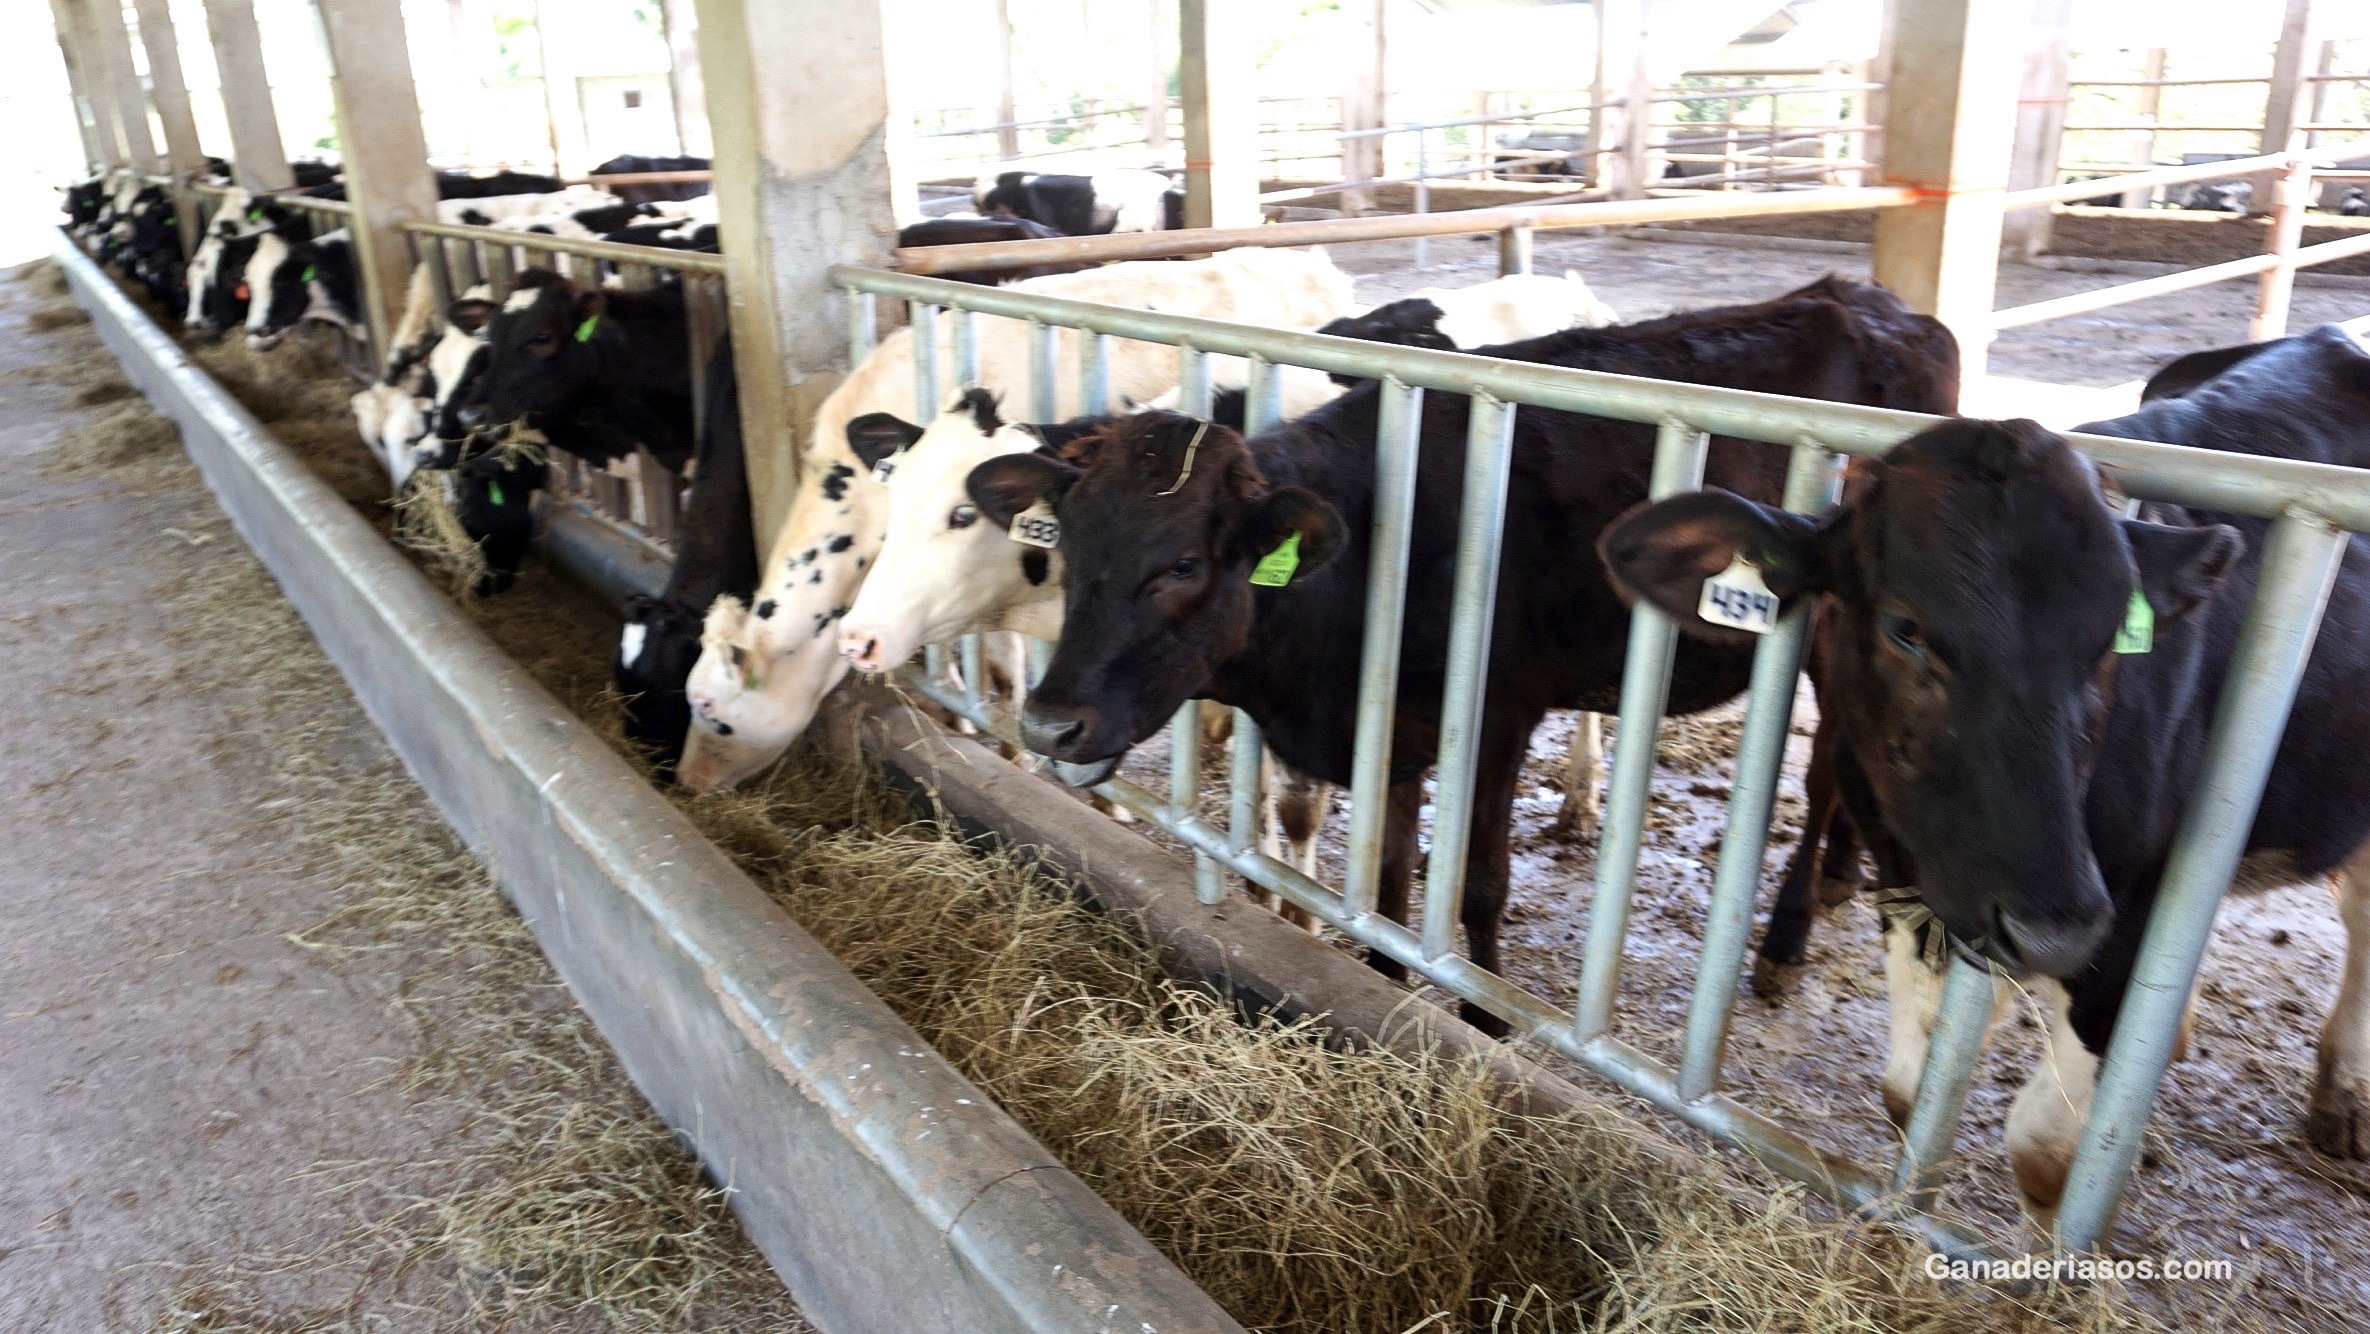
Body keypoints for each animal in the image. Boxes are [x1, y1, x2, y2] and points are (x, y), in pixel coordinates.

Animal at [971, 279, 1952, 1033]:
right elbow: (1389, 875)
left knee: (1825, 775)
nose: (1050, 723)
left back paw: (1787, 937)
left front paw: (1483, 1013)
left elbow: (1480, 884)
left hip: (1842, 640)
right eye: (1067, 546)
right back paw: (1845, 878)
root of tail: (1875, 303)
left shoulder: (1498, 715)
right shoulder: (1394, 724)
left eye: (1182, 564)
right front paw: (1384, 977)